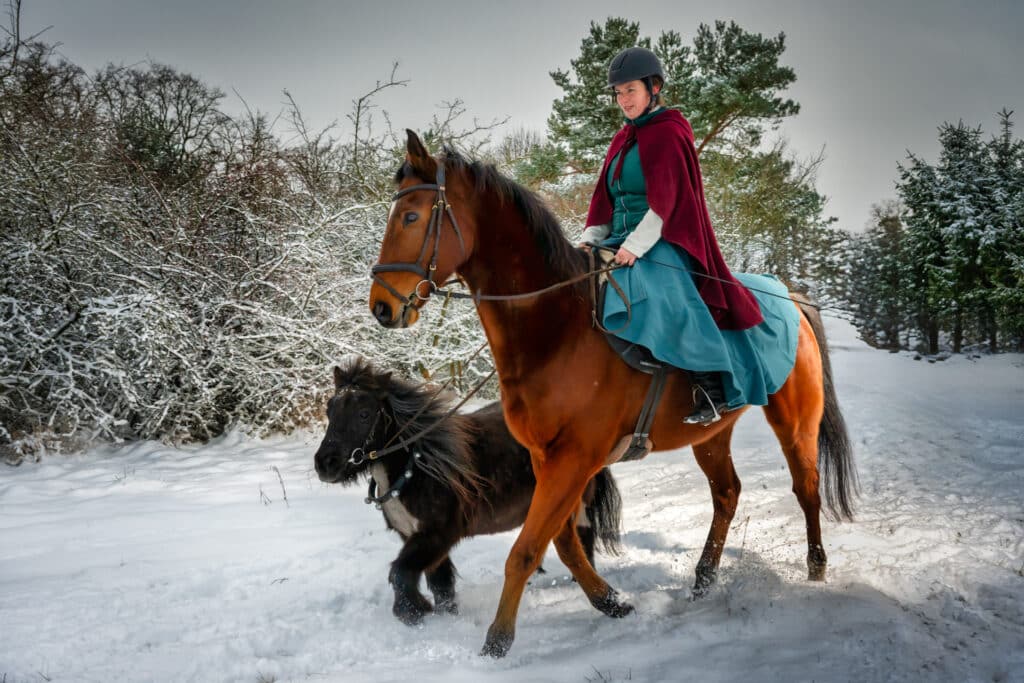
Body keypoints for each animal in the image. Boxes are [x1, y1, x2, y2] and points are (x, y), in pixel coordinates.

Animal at [313, 355, 623, 626]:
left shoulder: (437, 535)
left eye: (364, 414)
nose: (325, 464)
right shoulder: (415, 537)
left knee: (582, 540)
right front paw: (442, 618)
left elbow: (401, 573)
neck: (419, 468)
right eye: (330, 409)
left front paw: (413, 611)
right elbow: (441, 585)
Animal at [368, 130, 857, 657]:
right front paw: (611, 601)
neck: (559, 328)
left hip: (794, 421)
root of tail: (788, 295)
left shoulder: (574, 459)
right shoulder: (548, 459)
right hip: (711, 435)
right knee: (727, 493)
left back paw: (815, 567)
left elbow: (525, 550)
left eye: (411, 217)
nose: (381, 307)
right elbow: (561, 544)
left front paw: (497, 643)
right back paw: (703, 578)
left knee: (806, 488)